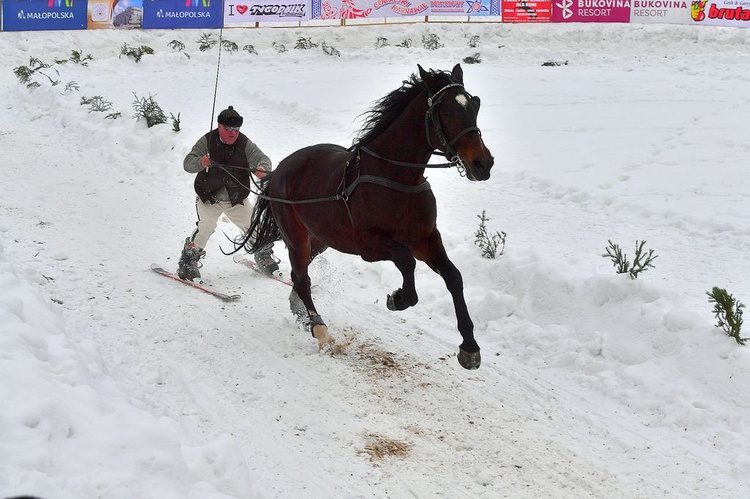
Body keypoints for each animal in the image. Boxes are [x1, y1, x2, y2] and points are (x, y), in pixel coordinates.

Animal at [244, 63, 496, 372]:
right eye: (446, 111)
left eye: (474, 105)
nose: (482, 163)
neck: (398, 178)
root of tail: (280, 169)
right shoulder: (370, 245)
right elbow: (407, 263)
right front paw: (398, 298)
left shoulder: (425, 239)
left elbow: (453, 276)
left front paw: (469, 347)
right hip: (296, 237)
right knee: (301, 279)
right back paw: (319, 328)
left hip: (320, 239)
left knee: (299, 278)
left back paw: (302, 314)